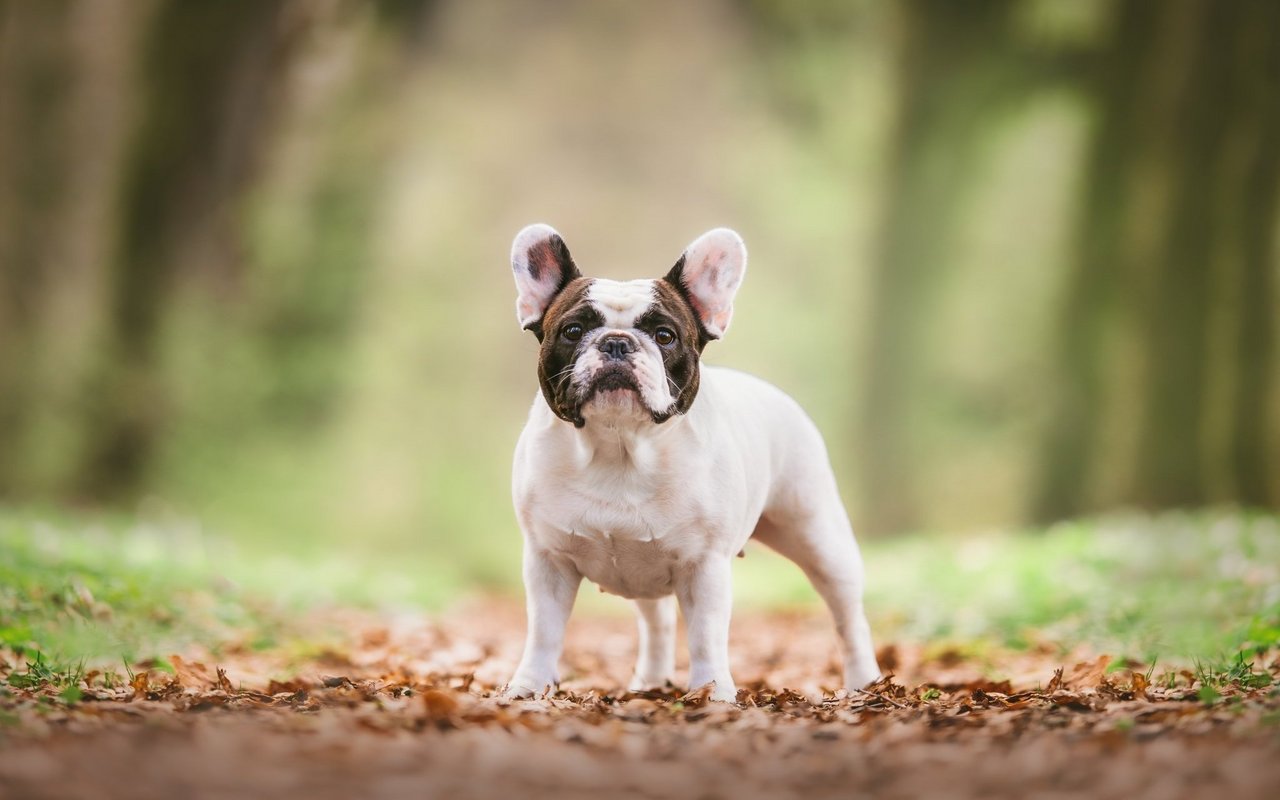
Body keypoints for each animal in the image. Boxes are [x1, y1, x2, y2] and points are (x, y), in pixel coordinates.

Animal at [504, 225, 875, 696]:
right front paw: (527, 688)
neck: (619, 448)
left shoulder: (704, 566)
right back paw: (648, 683)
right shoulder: (548, 561)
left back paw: (866, 683)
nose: (617, 343)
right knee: (656, 621)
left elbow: (705, 636)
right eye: (572, 330)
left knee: (848, 618)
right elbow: (543, 633)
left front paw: (712, 693)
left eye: (665, 336)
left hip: (820, 538)